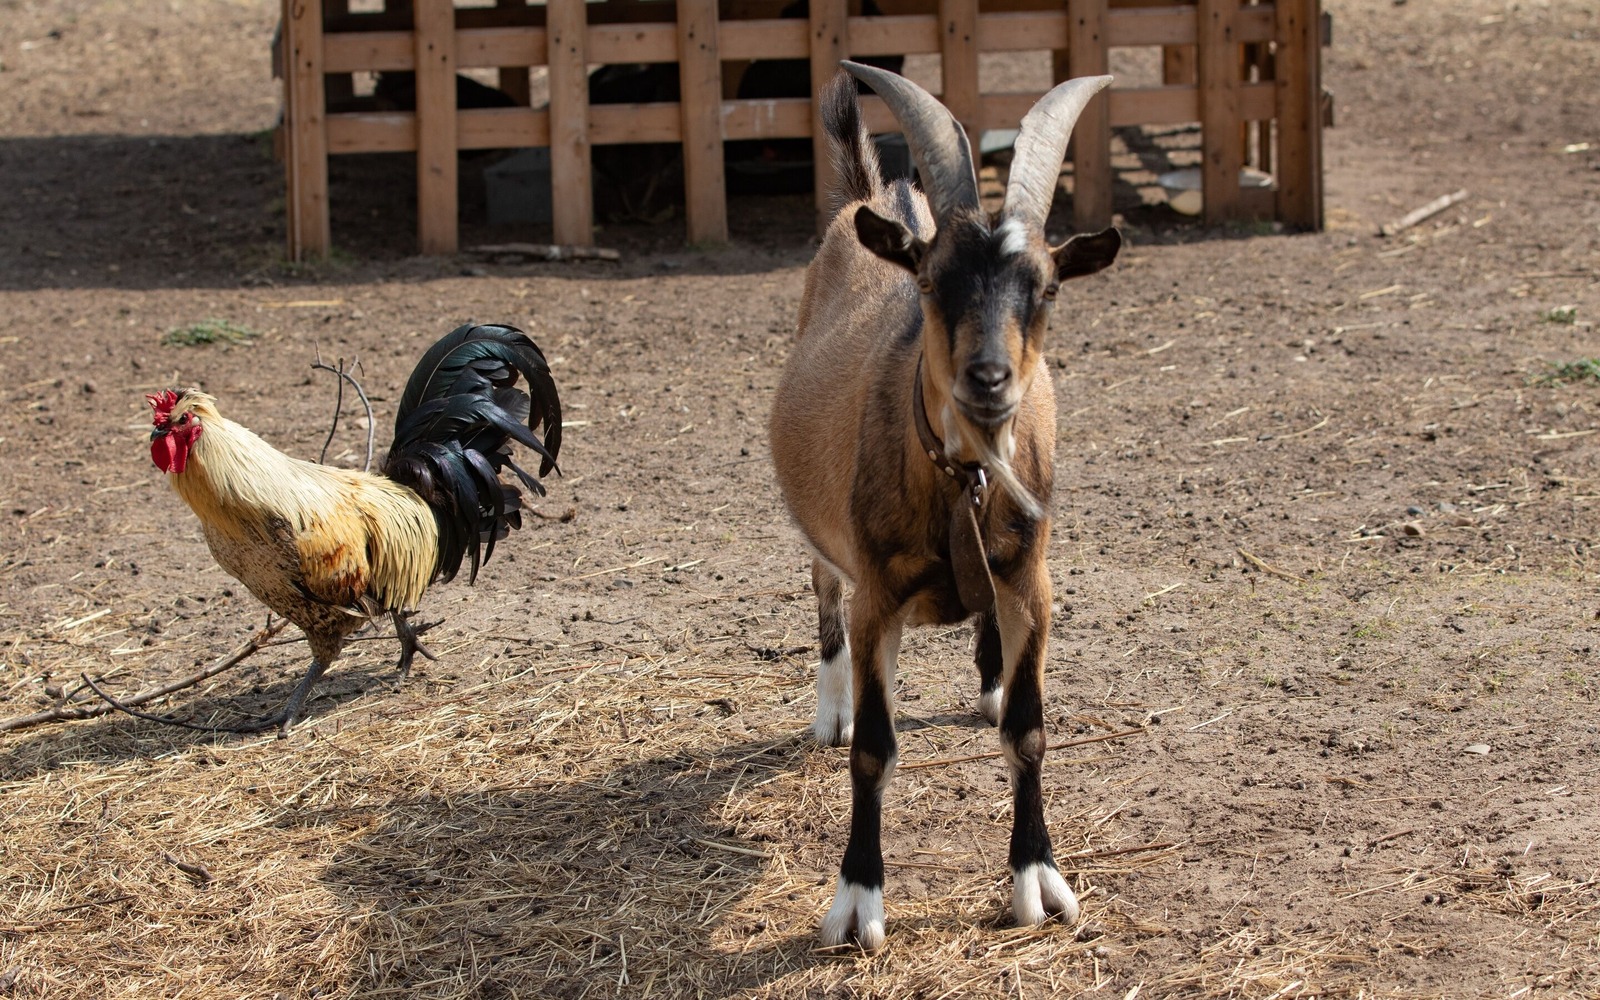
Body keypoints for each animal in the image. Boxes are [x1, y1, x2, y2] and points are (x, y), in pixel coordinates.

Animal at [768, 62, 1121, 949]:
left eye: (1047, 287)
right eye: (931, 282)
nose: (988, 379)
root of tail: (879, 197)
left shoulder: (1034, 584)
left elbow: (1028, 729)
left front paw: (1037, 879)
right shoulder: (878, 598)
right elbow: (875, 750)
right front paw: (857, 902)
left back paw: (989, 674)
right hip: (821, 534)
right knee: (822, 595)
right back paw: (831, 709)